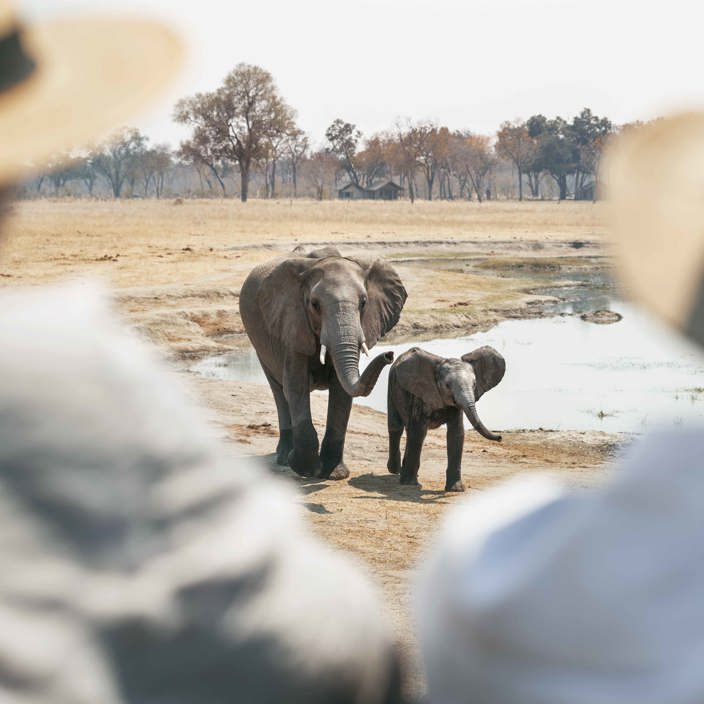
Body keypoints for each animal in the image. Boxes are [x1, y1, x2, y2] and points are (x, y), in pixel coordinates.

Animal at [240, 247, 407, 480]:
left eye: (364, 302)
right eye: (315, 305)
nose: (389, 355)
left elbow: (341, 391)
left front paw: (334, 474)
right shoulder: (292, 326)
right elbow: (295, 386)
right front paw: (306, 469)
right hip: (261, 345)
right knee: (278, 390)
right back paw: (284, 458)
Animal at [387, 345, 505, 492]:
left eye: (474, 384)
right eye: (448, 386)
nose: (500, 437)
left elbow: (456, 434)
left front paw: (456, 489)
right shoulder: (420, 395)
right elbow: (418, 432)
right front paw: (409, 484)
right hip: (391, 384)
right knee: (396, 427)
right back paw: (395, 470)